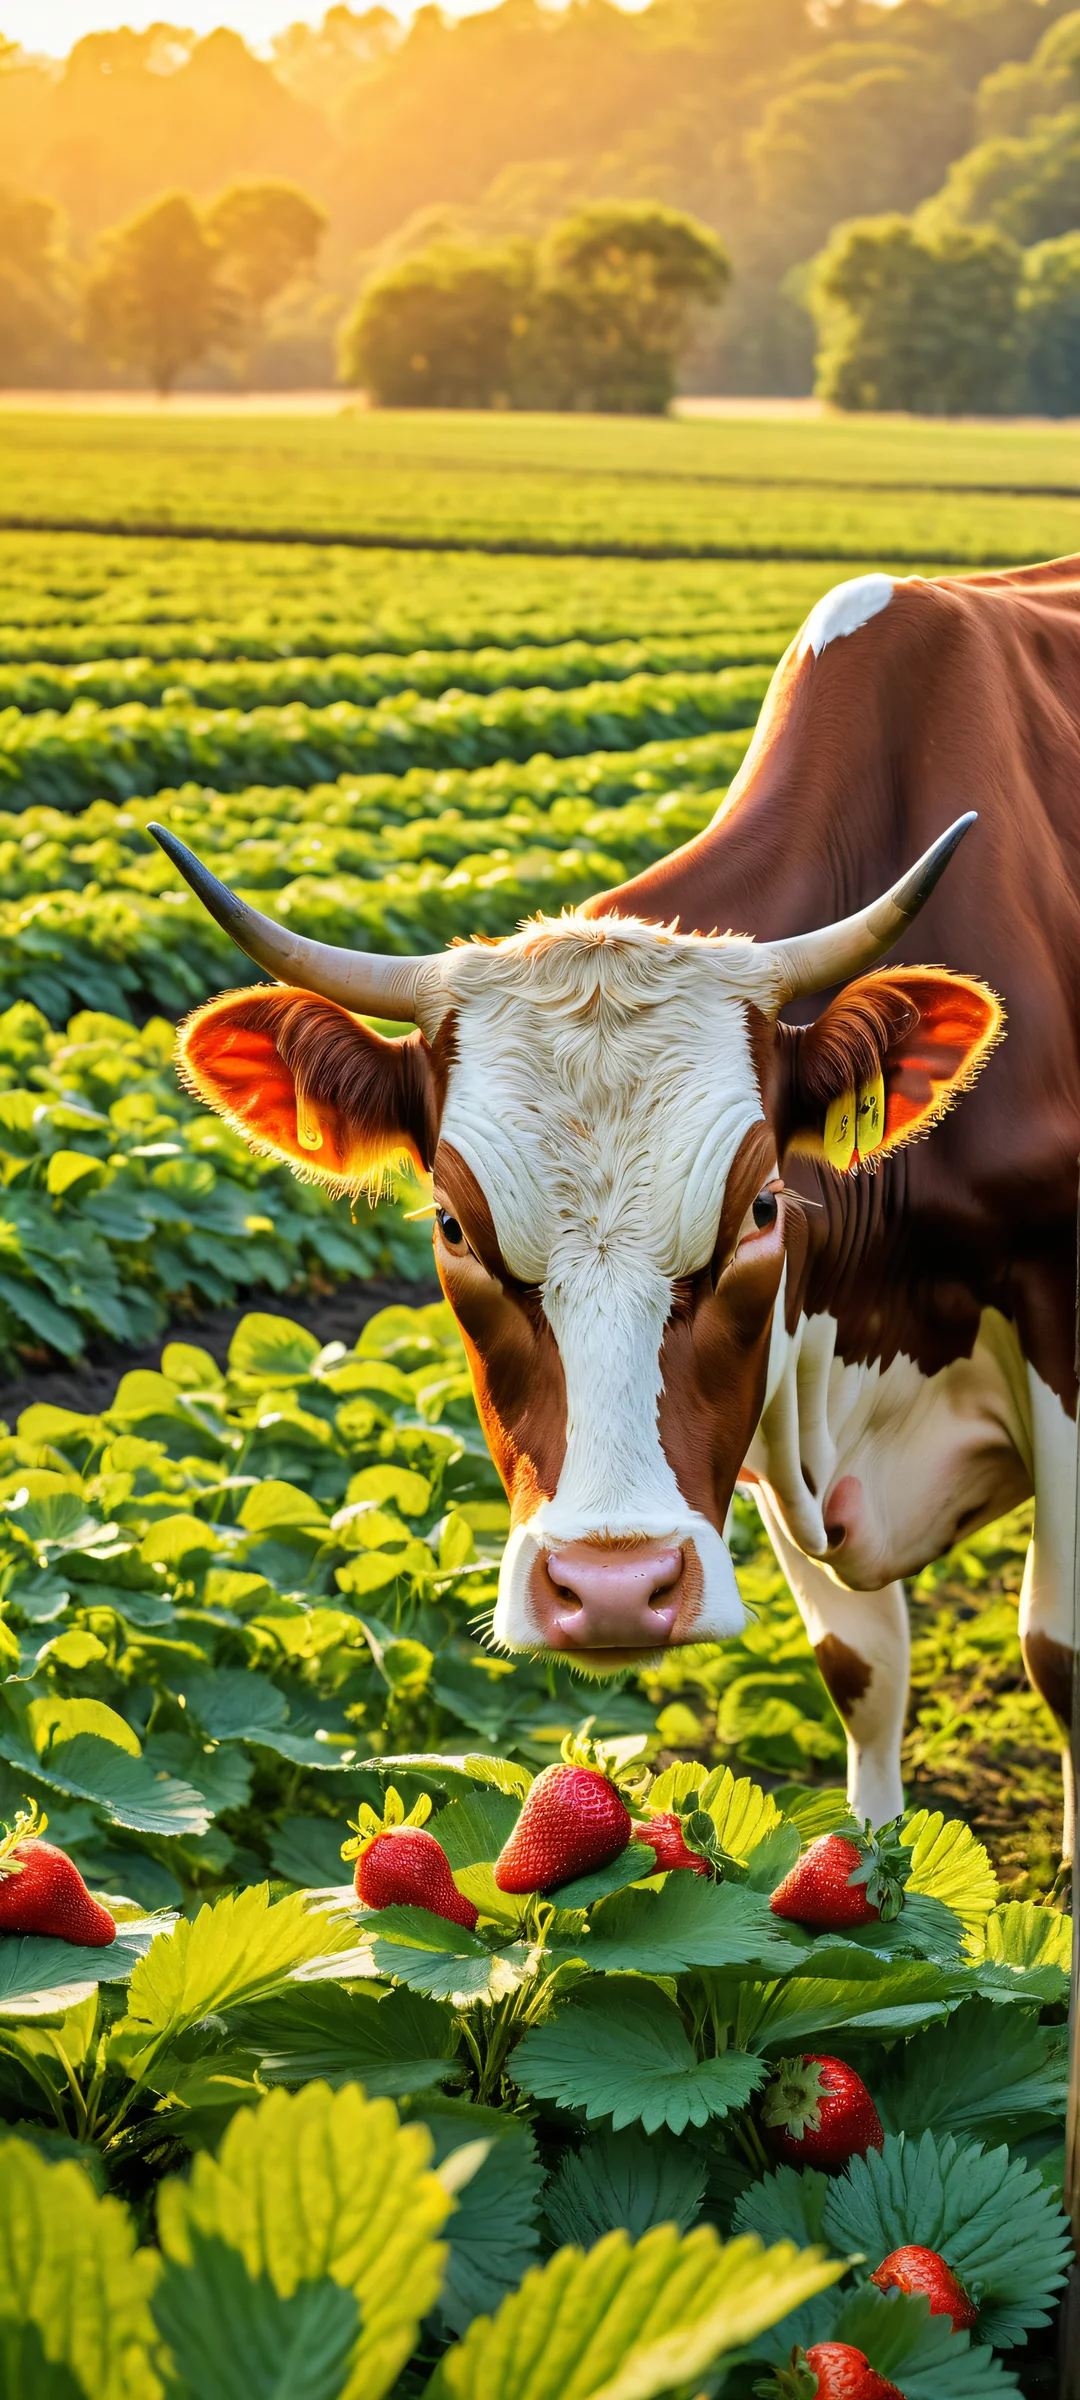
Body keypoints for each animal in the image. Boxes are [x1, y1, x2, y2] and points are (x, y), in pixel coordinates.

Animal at [151, 555, 1080, 1849]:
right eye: (452, 1225)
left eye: (760, 1211)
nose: (609, 1589)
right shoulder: (771, 1402)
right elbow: (862, 1669)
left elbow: (1060, 1655)